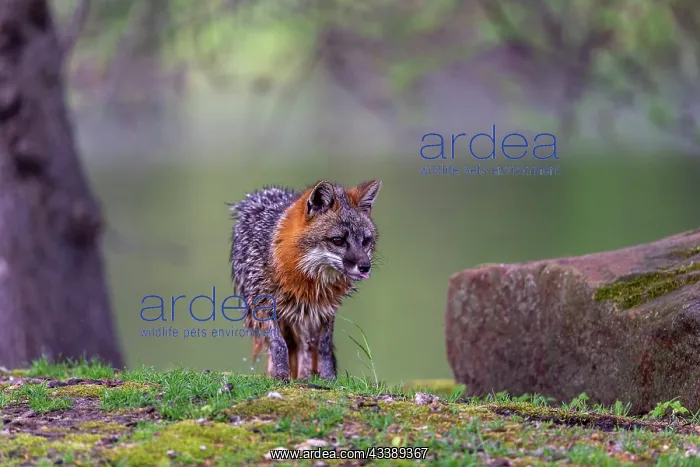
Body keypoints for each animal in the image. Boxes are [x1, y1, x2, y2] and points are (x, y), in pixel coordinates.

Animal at [228, 179, 381, 381]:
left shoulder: (325, 309)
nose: (365, 266)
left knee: (307, 347)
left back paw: (306, 376)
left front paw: (328, 378)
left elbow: (323, 346)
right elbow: (278, 344)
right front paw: (281, 374)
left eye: (365, 241)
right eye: (338, 240)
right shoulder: (262, 304)